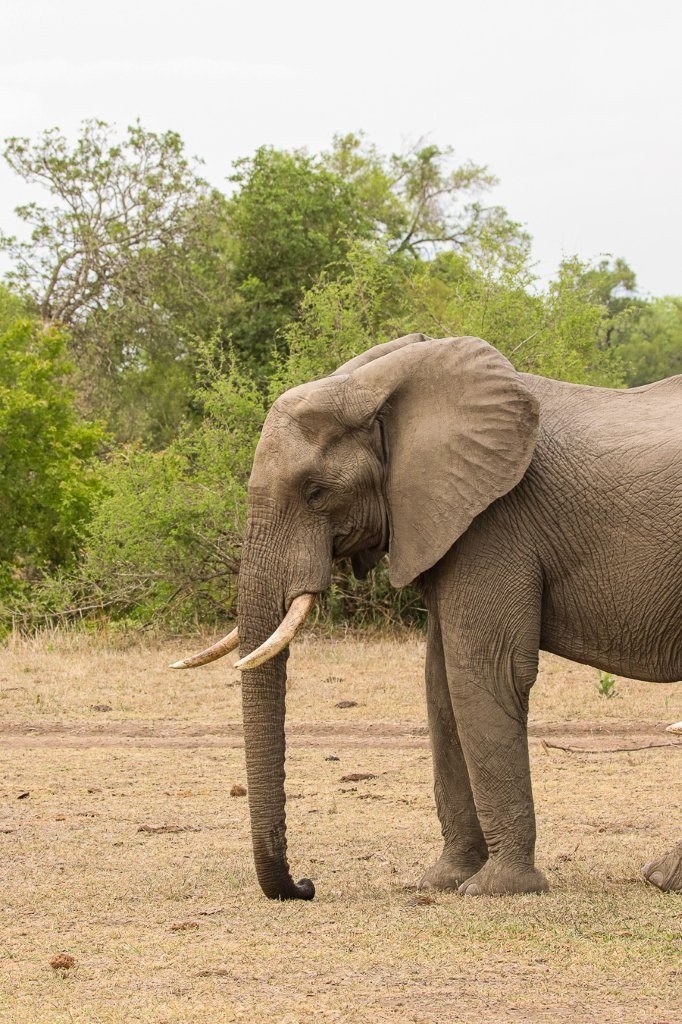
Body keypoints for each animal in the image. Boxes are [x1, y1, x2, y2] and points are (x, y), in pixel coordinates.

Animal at [173, 334, 682, 900]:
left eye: (316, 493)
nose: (305, 885)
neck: (380, 391)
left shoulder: (495, 520)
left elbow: (482, 672)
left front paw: (496, 889)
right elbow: (439, 685)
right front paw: (443, 881)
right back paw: (662, 878)